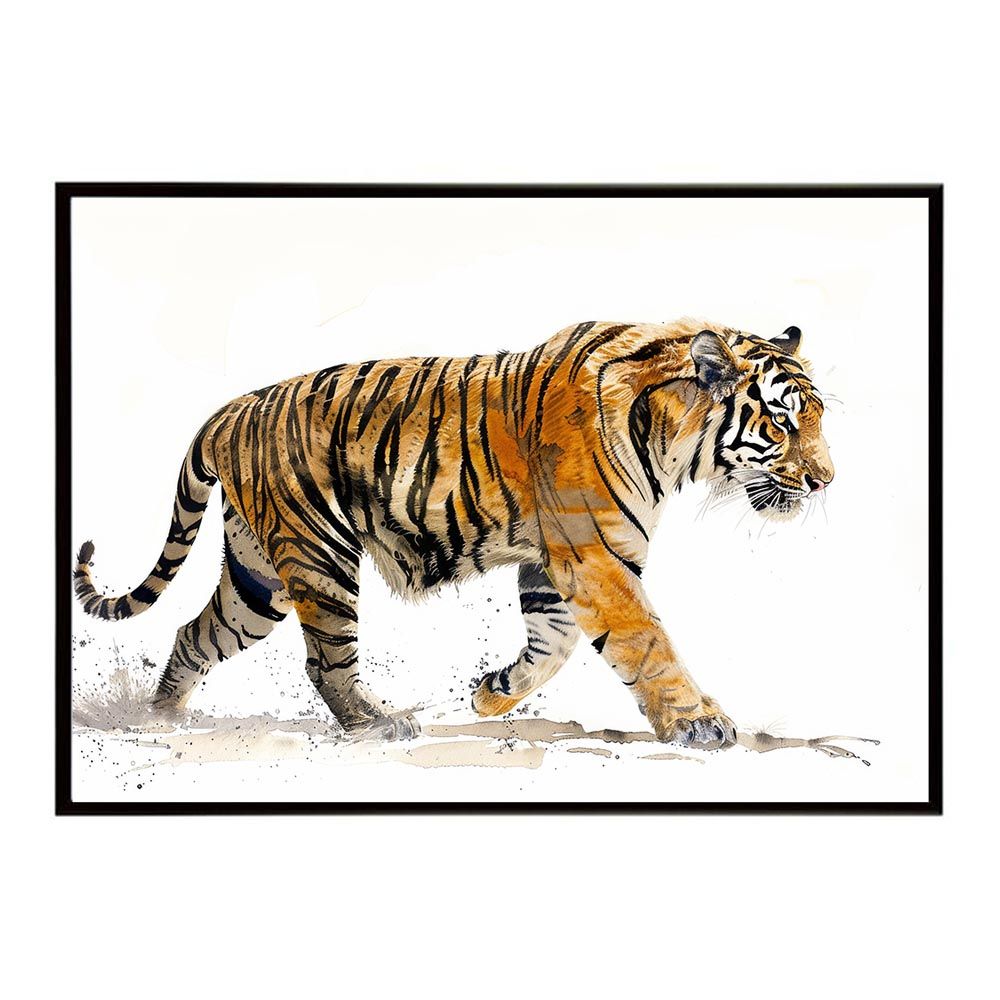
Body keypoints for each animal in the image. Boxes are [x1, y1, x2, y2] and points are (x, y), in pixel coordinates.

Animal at [74, 318, 834, 750]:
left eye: (819, 418)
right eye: (784, 422)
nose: (827, 479)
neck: (673, 437)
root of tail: (232, 410)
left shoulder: (558, 562)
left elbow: (552, 644)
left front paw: (490, 692)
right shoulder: (593, 556)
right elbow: (648, 642)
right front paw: (697, 724)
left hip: (257, 578)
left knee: (193, 634)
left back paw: (161, 716)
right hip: (320, 556)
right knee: (325, 660)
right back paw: (375, 723)